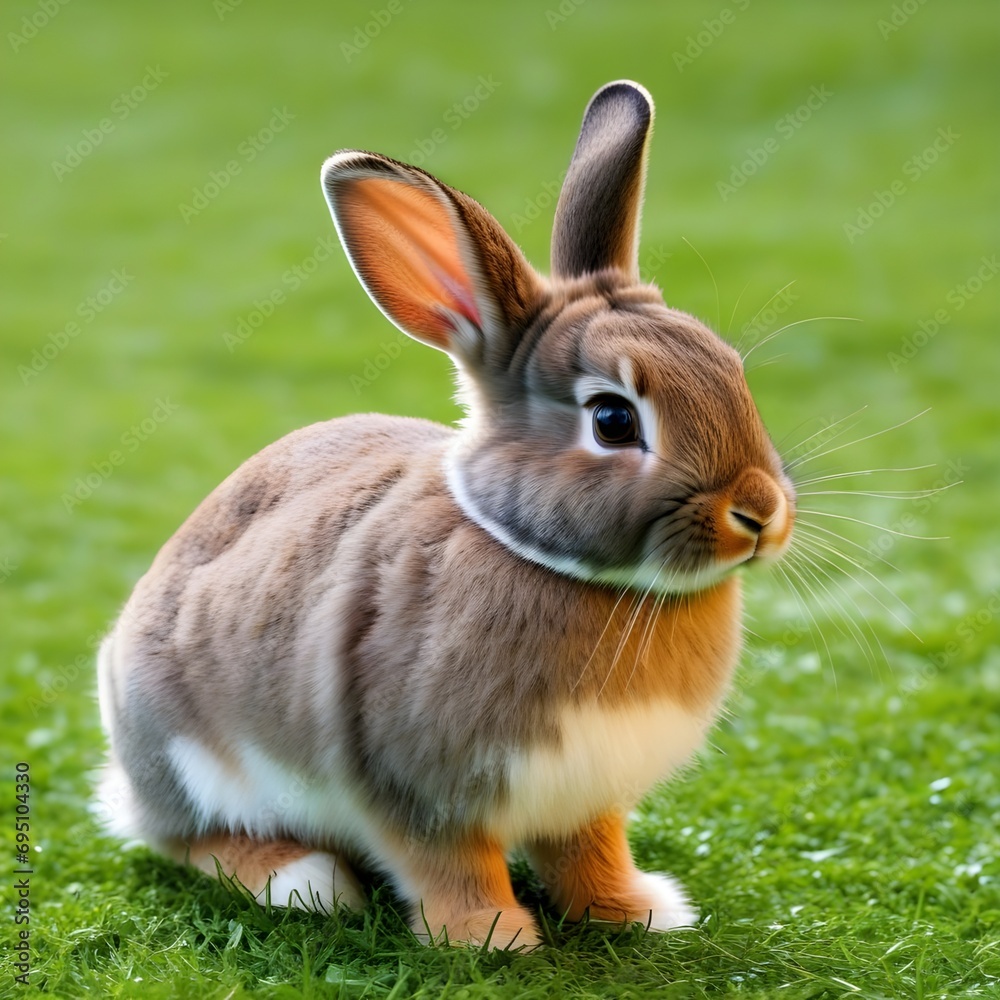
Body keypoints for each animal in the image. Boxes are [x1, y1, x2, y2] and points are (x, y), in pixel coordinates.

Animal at [96, 79, 795, 951]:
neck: (562, 567)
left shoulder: (586, 795)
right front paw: (492, 938)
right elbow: (450, 865)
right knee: (195, 841)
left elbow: (591, 851)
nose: (760, 512)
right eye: (612, 420)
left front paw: (638, 910)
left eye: (731, 370)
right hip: (187, 755)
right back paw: (305, 881)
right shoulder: (411, 786)